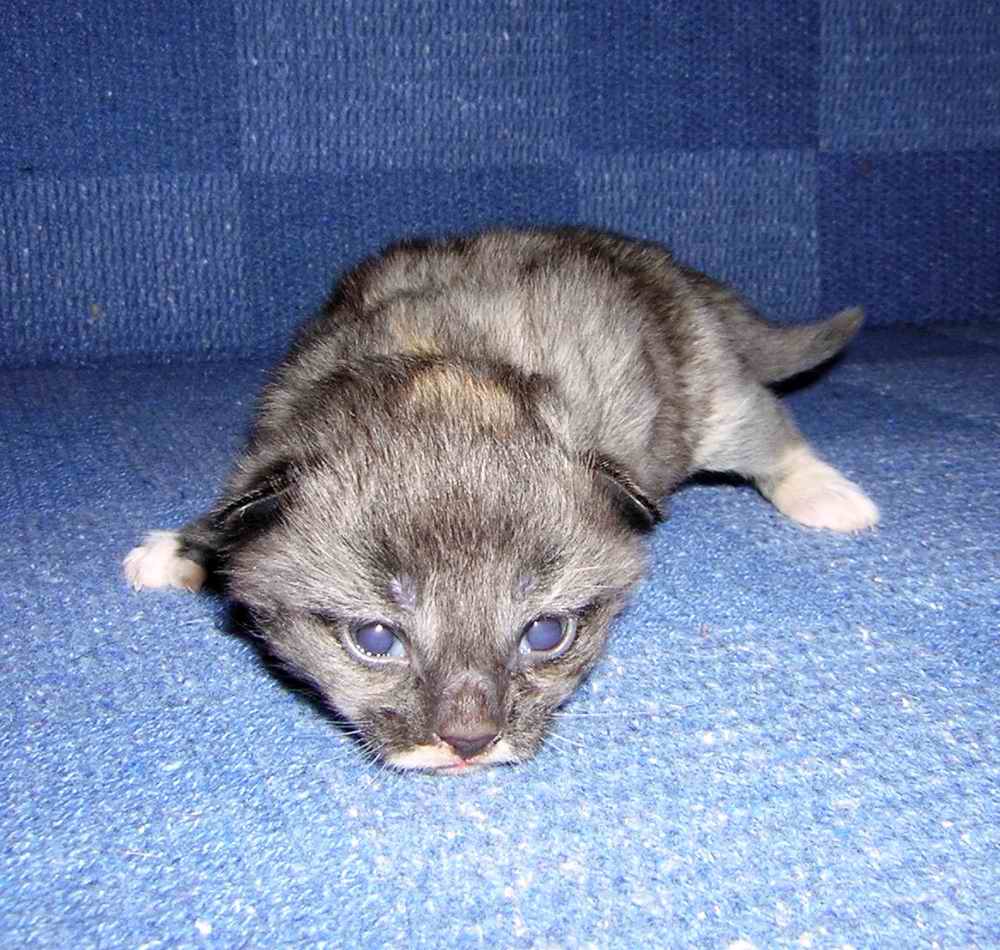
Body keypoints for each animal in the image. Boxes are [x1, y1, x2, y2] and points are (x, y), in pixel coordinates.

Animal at [124, 227, 878, 774]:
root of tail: (665, 267)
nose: (468, 742)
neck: (438, 370)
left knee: (765, 422)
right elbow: (232, 510)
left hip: (709, 393)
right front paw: (184, 546)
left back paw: (826, 493)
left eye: (546, 634)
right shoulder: (268, 448)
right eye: (376, 639)